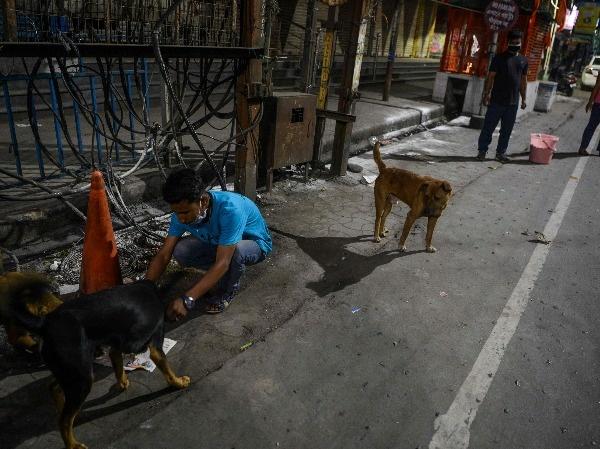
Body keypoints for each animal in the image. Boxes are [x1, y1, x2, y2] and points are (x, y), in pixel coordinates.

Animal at [7, 272, 190, 448]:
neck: (156, 290)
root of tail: (45, 323)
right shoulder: (155, 346)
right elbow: (167, 371)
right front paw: (179, 382)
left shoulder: (116, 347)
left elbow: (118, 366)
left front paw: (122, 383)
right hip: (81, 378)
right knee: (63, 421)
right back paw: (73, 444)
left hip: (71, 371)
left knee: (54, 389)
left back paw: (70, 413)